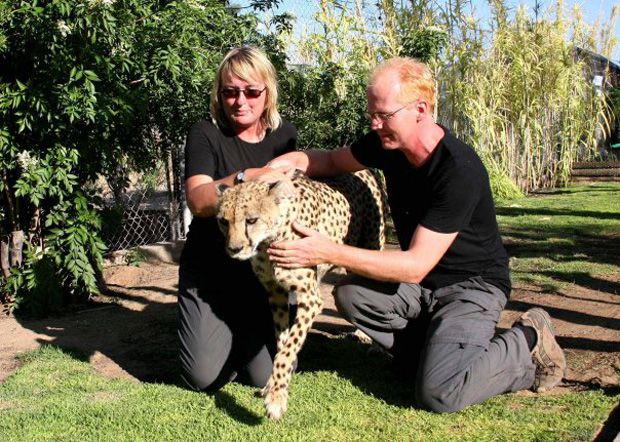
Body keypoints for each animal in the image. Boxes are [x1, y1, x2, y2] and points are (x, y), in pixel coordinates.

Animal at [216, 170, 386, 422]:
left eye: (251, 220)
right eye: (224, 221)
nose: (234, 249)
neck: (269, 240)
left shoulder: (310, 299)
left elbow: (288, 348)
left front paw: (276, 398)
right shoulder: (275, 294)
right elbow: (282, 342)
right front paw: (274, 386)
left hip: (371, 247)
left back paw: (374, 343)